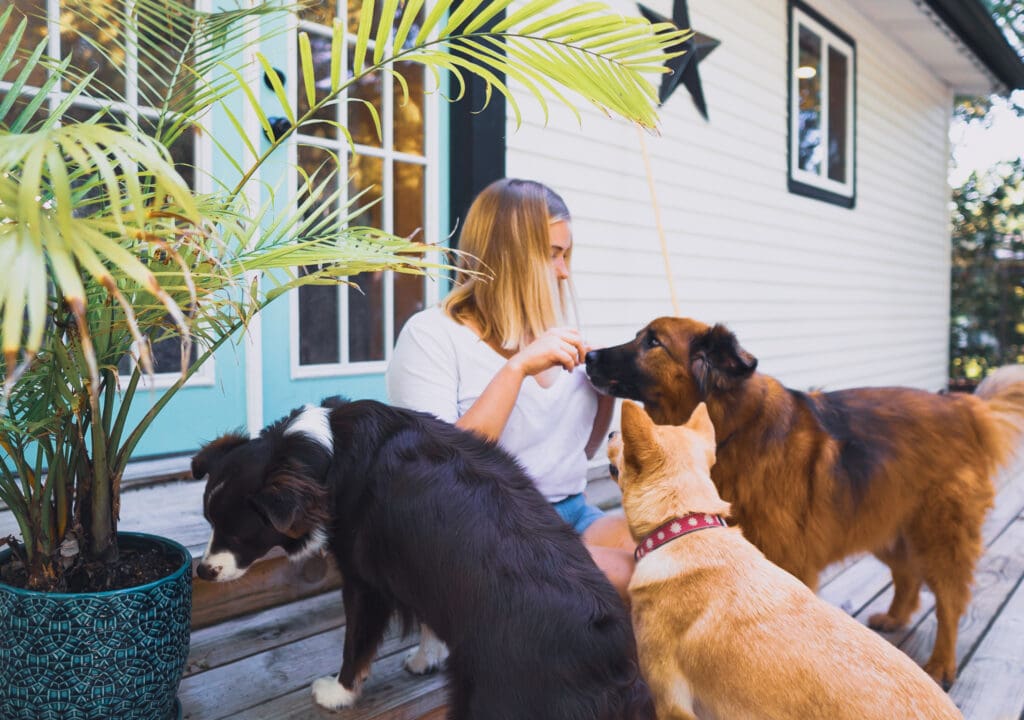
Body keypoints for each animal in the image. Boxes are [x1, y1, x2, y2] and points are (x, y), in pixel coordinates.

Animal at [195, 399, 651, 720]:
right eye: (209, 521)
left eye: (237, 533)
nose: (201, 570)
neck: (323, 451)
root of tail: (614, 667)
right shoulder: (420, 565)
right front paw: (425, 657)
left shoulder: (365, 581)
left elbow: (356, 643)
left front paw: (339, 693)